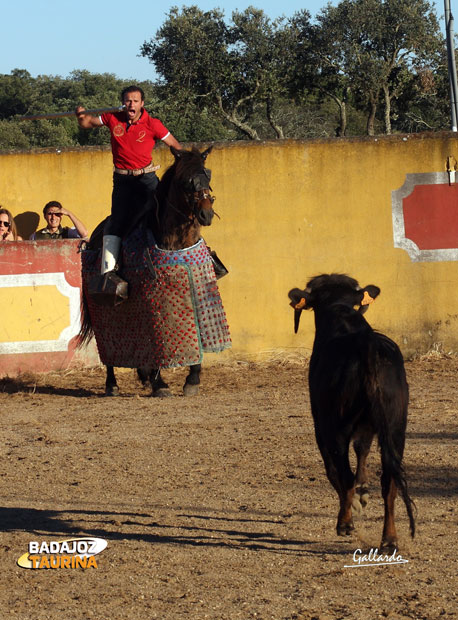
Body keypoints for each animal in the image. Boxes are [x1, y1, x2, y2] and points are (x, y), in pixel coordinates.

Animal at [78, 145, 231, 398]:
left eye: (207, 175)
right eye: (185, 180)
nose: (206, 214)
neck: (177, 239)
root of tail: (91, 241)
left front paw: (192, 380)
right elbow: (157, 341)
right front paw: (160, 384)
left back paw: (144, 376)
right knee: (109, 348)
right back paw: (113, 384)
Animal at [290, 274, 416, 548]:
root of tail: (366, 347)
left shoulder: (321, 423)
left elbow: (334, 471)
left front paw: (355, 503)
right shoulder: (369, 427)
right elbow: (362, 450)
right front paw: (363, 491)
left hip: (336, 427)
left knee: (343, 473)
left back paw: (345, 523)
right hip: (396, 428)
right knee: (390, 481)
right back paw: (389, 538)